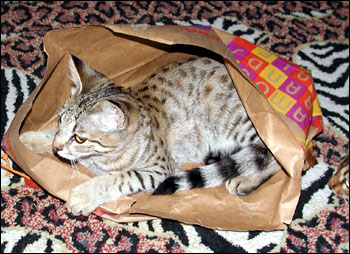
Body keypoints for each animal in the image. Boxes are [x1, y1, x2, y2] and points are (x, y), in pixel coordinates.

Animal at [19, 54, 282, 215]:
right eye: (60, 120)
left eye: (79, 138)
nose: (57, 147)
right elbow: (49, 136)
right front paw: (29, 139)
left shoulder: (158, 170)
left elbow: (118, 178)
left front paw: (85, 194)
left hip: (236, 124)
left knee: (273, 156)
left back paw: (244, 179)